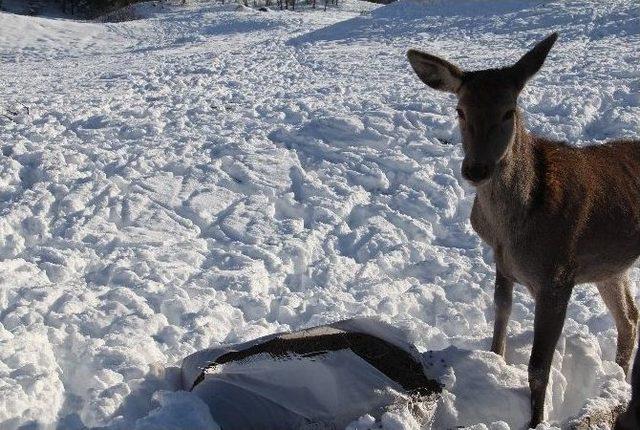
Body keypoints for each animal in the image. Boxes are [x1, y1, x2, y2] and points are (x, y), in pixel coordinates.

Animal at [408, 32, 636, 426]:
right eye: (460, 110)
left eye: (509, 111)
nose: (476, 169)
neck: (509, 231)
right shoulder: (502, 262)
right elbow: (500, 321)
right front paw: (496, 363)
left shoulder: (558, 276)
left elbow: (538, 366)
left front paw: (536, 420)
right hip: (610, 266)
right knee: (629, 319)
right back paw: (619, 382)